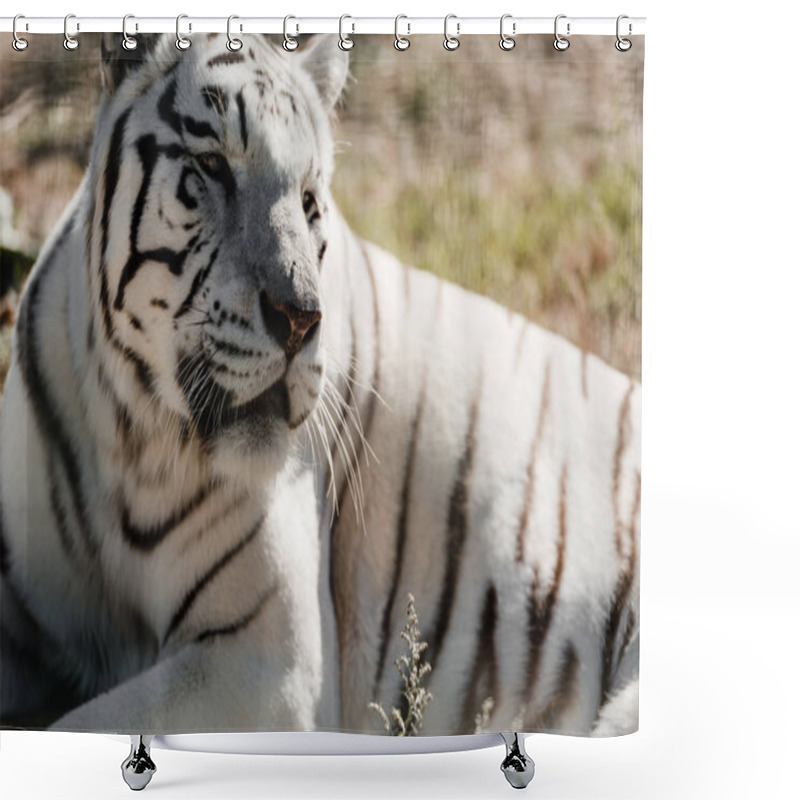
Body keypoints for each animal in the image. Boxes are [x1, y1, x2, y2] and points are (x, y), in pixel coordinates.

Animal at [0, 36, 636, 736]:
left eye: (309, 200)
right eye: (212, 166)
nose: (302, 318)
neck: (128, 435)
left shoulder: (265, 664)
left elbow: (79, 723)